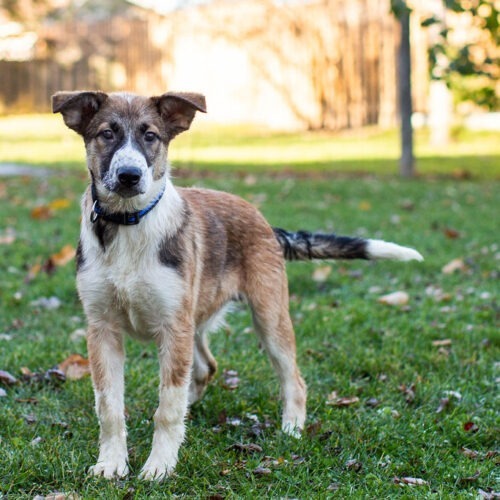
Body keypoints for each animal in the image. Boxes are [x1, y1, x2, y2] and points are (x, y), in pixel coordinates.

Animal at [52, 90, 424, 480]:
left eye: (150, 136)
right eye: (106, 134)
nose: (129, 176)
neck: (129, 223)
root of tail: (266, 224)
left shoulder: (172, 326)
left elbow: (166, 408)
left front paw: (160, 466)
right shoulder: (103, 327)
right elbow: (109, 406)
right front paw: (111, 463)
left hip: (267, 316)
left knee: (292, 378)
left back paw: (291, 427)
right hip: (193, 322)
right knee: (205, 367)